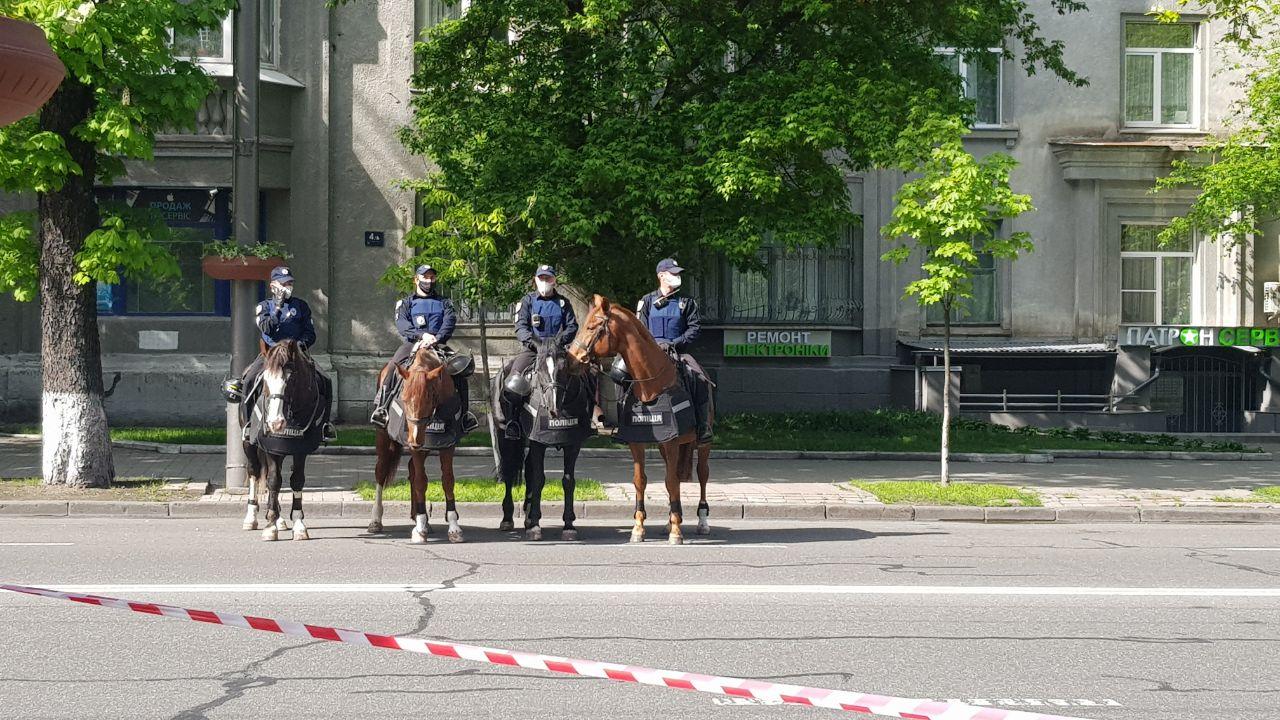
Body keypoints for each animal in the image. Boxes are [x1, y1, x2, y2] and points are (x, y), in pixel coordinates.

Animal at [240, 340, 325, 538]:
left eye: (291, 379)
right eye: (265, 380)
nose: (275, 423)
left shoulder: (300, 449)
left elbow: (296, 480)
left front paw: (298, 523)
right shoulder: (270, 447)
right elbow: (273, 480)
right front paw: (270, 525)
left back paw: (279, 519)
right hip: (249, 444)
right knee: (255, 471)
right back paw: (252, 517)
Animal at [368, 338, 463, 540]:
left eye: (430, 398)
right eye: (403, 398)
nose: (413, 440)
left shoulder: (447, 445)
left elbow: (448, 480)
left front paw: (453, 526)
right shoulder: (416, 446)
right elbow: (421, 481)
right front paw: (420, 529)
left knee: (412, 469)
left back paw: (421, 517)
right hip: (384, 437)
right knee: (381, 471)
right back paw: (376, 519)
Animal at [491, 335, 596, 538]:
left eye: (565, 368)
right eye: (538, 370)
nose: (553, 408)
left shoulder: (573, 444)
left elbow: (568, 481)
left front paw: (568, 525)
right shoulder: (537, 442)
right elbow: (539, 479)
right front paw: (535, 526)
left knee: (529, 471)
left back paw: (527, 516)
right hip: (505, 436)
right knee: (509, 471)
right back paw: (508, 518)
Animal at [568, 294, 711, 540]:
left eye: (592, 327)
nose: (571, 359)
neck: (650, 386)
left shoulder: (671, 442)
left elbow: (671, 481)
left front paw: (676, 531)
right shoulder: (639, 443)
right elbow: (641, 481)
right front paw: (639, 526)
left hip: (702, 444)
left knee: (701, 475)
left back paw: (701, 521)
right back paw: (670, 520)